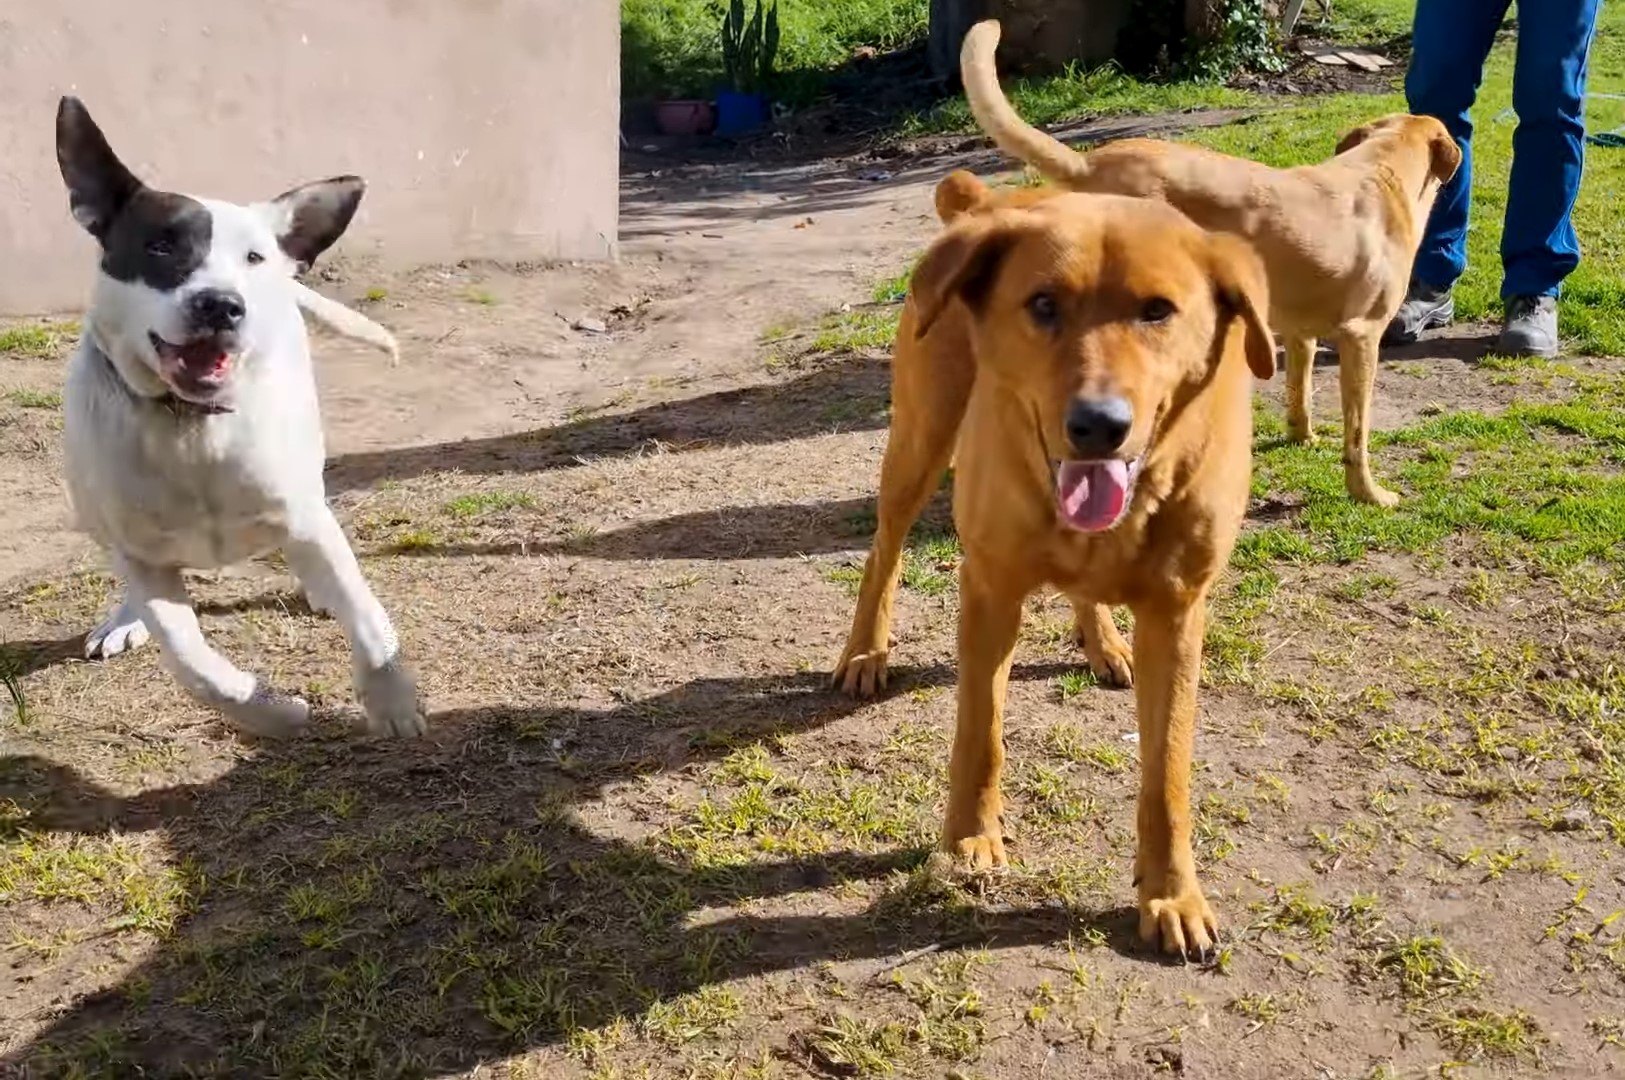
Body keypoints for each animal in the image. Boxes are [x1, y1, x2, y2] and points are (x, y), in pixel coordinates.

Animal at [54, 97, 425, 740]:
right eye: (160, 246)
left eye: (254, 258)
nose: (222, 305)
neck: (193, 426)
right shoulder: (145, 559)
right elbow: (190, 660)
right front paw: (270, 711)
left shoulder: (304, 516)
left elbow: (366, 616)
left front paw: (393, 699)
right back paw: (123, 619)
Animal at [838, 185, 1280, 954]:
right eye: (1042, 304)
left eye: (1157, 310)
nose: (1098, 424)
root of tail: (995, 197)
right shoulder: (989, 589)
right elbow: (979, 733)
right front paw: (969, 840)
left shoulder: (1177, 611)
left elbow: (1167, 772)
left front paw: (1171, 895)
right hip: (919, 439)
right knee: (884, 548)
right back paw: (866, 651)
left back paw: (1103, 643)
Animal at [955, 16, 1469, 506]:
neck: (1380, 169)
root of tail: (1090, 163)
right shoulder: (1362, 337)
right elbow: (1358, 434)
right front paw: (1368, 493)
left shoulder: (1298, 331)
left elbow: (1299, 392)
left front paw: (1304, 438)